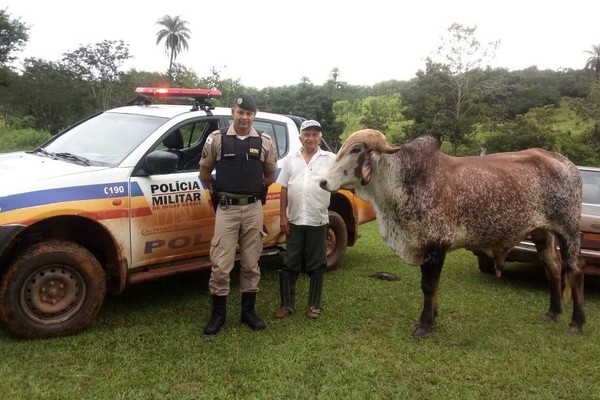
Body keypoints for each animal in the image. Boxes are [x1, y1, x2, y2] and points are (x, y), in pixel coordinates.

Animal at [318, 130, 584, 336]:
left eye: (356, 150)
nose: (323, 182)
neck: (403, 181)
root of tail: (565, 161)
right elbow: (430, 286)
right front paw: (433, 317)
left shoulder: (436, 244)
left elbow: (428, 285)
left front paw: (425, 325)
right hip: (542, 233)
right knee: (553, 267)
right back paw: (552, 313)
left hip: (568, 230)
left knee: (574, 270)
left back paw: (577, 323)